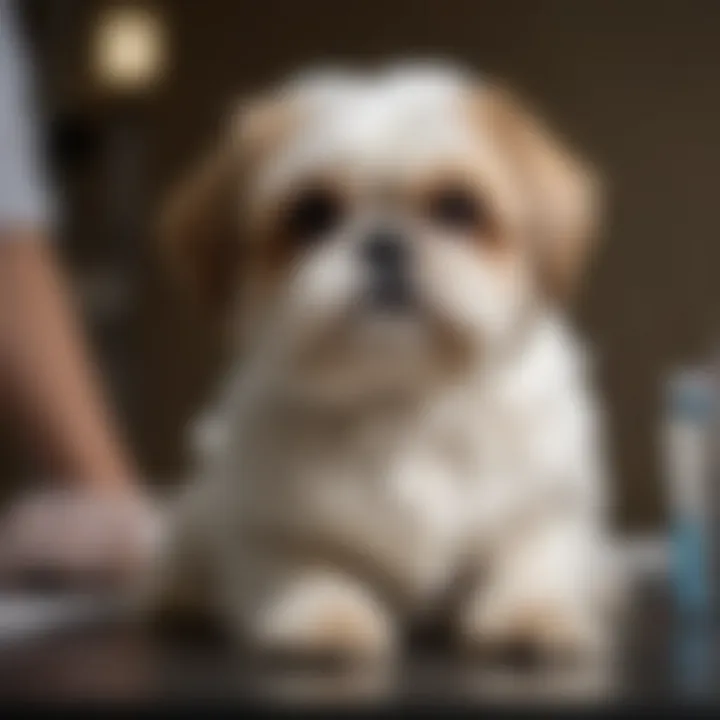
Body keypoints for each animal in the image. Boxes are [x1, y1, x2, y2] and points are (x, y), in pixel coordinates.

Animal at [152, 63, 612, 664]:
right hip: (195, 519)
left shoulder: (545, 503)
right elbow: (303, 568)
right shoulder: (262, 523)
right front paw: (323, 619)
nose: (385, 243)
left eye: (457, 207)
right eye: (312, 214)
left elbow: (532, 558)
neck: (402, 405)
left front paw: (531, 615)